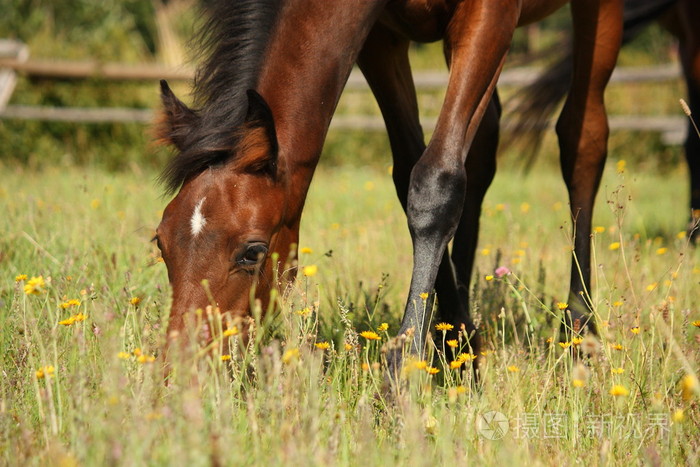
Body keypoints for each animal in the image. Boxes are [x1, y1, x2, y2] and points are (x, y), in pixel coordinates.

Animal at [154, 0, 624, 372]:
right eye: (161, 243)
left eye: (252, 252)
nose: (180, 372)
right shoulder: (380, 37)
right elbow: (410, 171)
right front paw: (457, 350)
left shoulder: (492, 13)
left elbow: (436, 181)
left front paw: (400, 377)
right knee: (482, 146)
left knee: (581, 139)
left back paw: (580, 333)